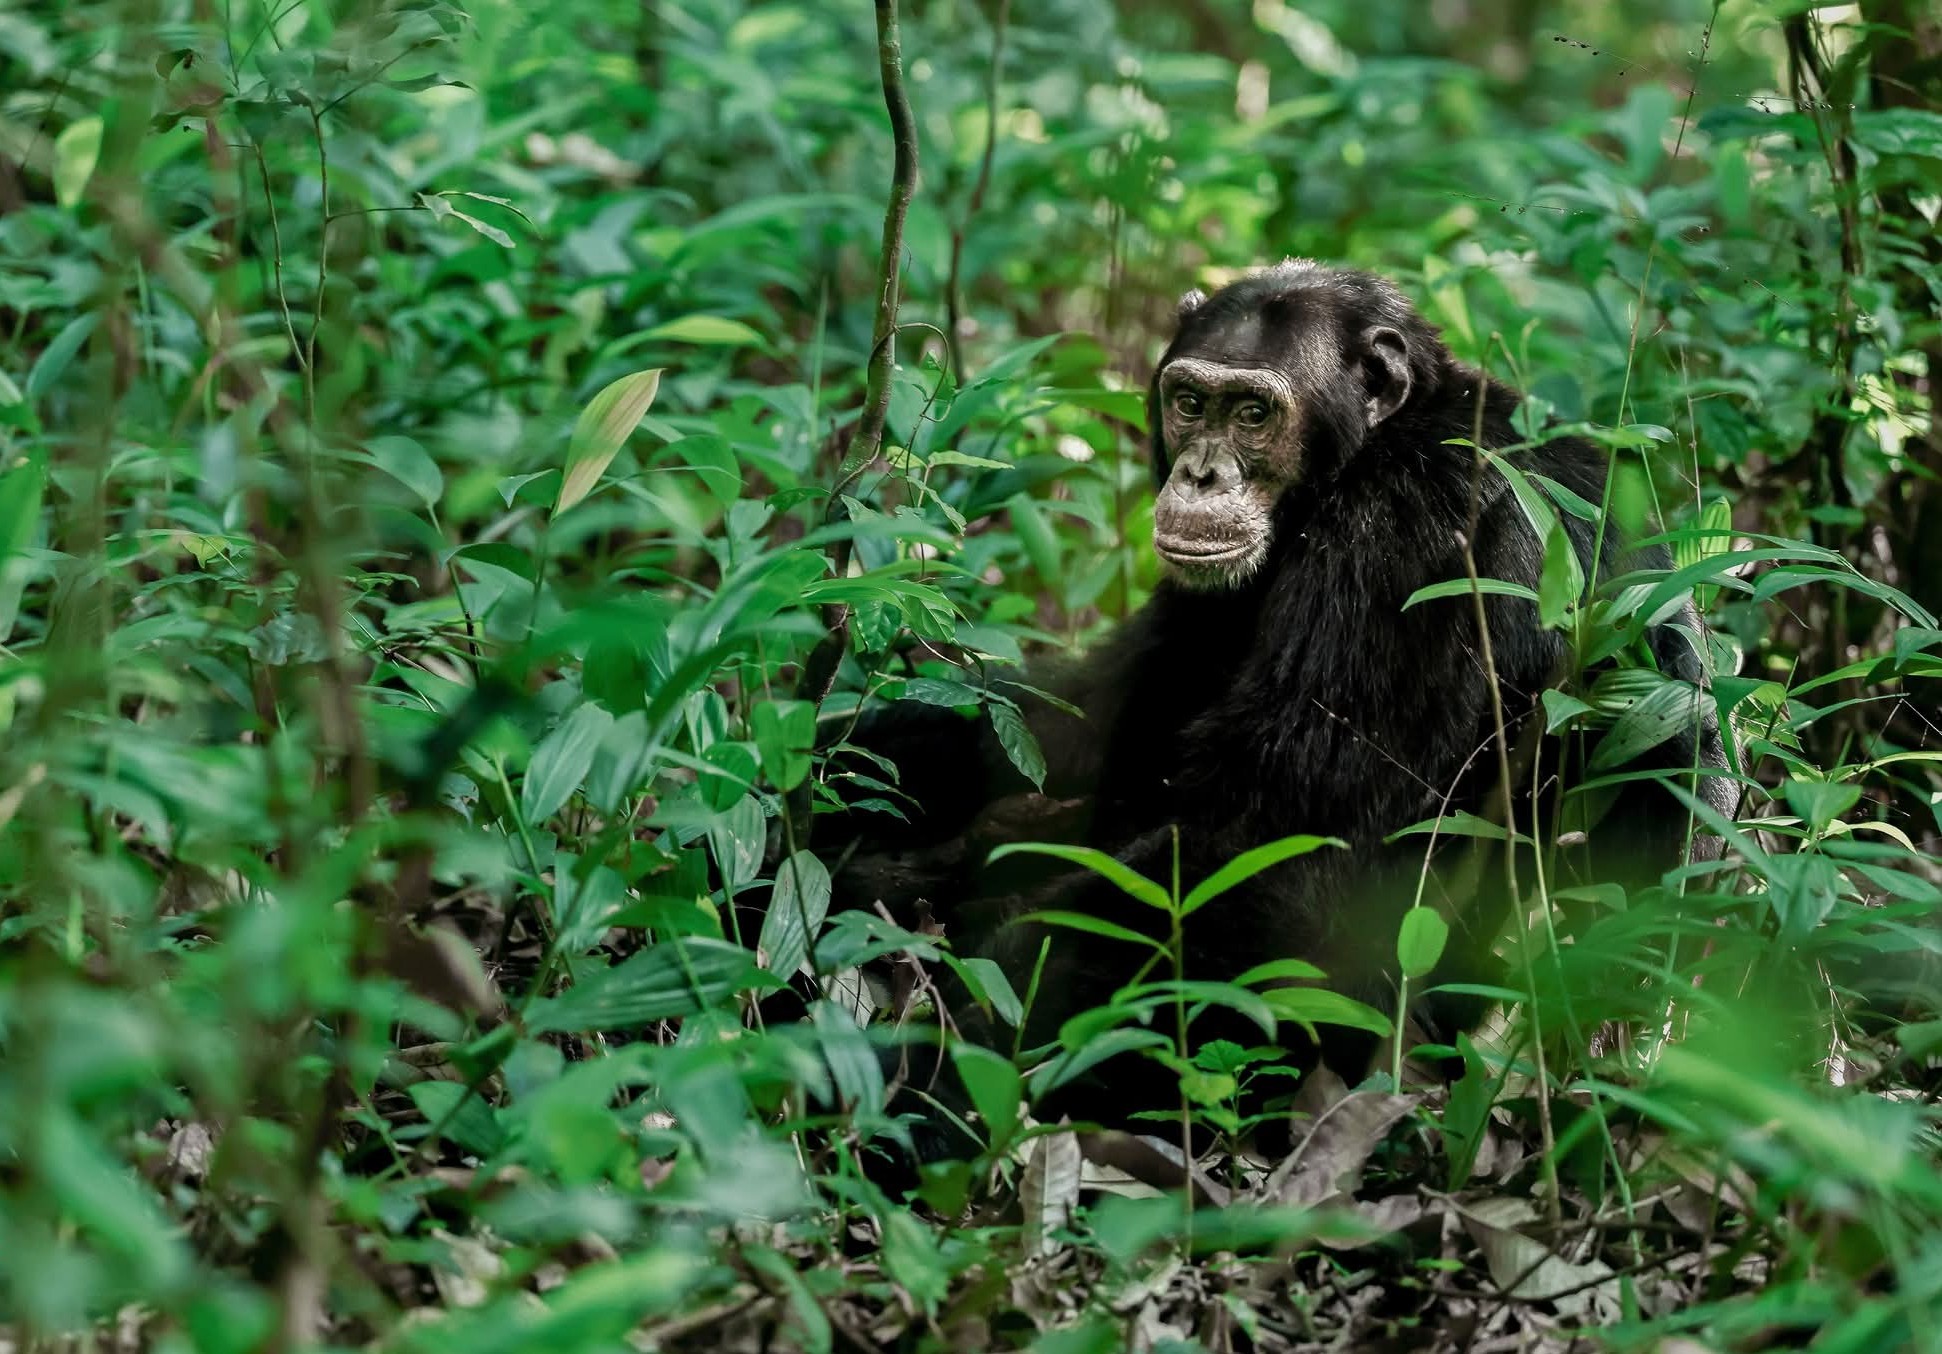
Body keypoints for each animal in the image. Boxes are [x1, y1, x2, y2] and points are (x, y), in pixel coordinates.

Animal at [818, 260, 1736, 1149]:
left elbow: (1262, 842)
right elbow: (1081, 719)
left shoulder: (1410, 538)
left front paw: (938, 1070)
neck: (1364, 456)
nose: (1200, 471)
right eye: (1191, 402)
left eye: (1255, 413)